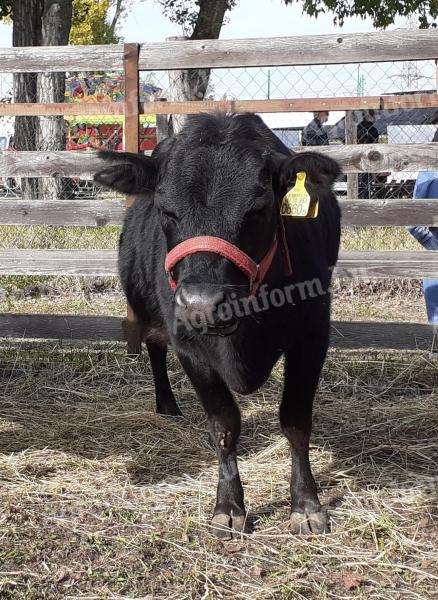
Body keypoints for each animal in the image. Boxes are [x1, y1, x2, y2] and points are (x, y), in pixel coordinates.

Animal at [95, 112, 342, 540]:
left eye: (258, 208)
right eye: (166, 210)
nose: (202, 304)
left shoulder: (312, 338)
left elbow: (295, 422)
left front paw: (306, 505)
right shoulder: (189, 345)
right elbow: (224, 425)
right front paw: (228, 507)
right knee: (154, 346)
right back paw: (167, 404)